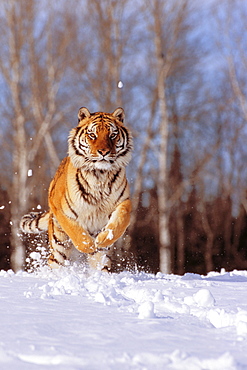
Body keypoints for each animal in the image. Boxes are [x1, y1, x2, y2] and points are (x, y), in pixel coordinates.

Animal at [20, 107, 133, 272]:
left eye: (113, 135)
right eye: (92, 135)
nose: (103, 152)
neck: (99, 175)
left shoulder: (124, 202)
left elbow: (120, 221)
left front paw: (103, 239)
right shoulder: (62, 210)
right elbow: (77, 232)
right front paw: (89, 245)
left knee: (101, 263)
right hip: (58, 244)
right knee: (55, 260)